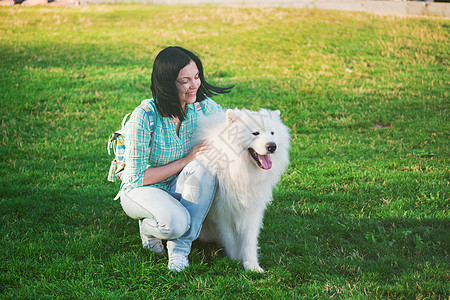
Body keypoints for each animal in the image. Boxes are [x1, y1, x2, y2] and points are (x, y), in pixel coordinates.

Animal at [195, 108, 290, 272]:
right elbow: (230, 239)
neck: (239, 170)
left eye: (272, 133)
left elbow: (249, 240)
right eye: (255, 133)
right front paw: (234, 259)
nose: (272, 146)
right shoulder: (222, 212)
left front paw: (252, 265)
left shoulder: (251, 210)